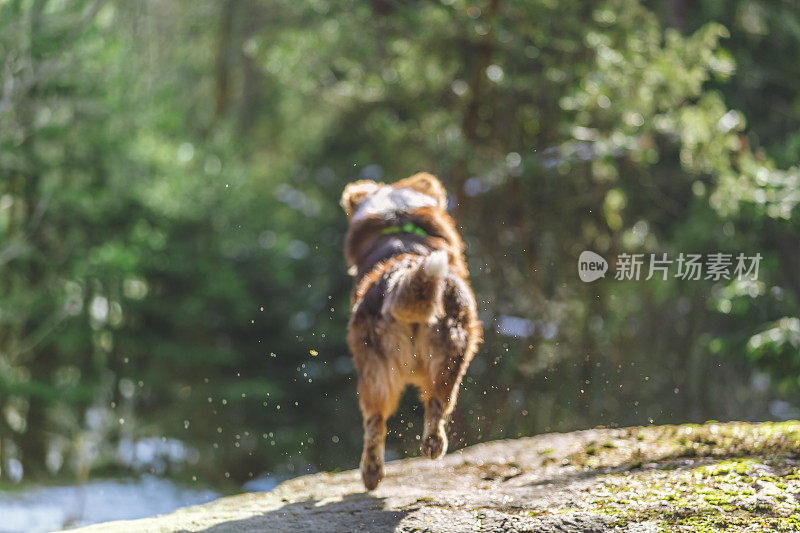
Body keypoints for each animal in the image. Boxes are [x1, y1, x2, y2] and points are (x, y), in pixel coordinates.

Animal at [340, 172, 482, 488]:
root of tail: (404, 270)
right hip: (453, 349)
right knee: (436, 403)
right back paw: (428, 447)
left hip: (374, 367)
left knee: (376, 420)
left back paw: (372, 472)